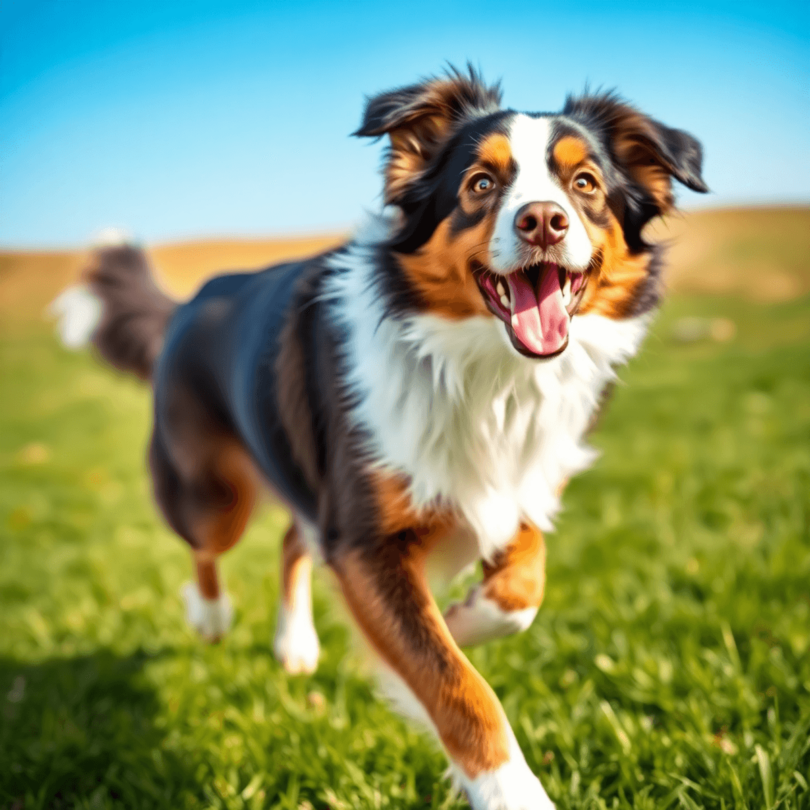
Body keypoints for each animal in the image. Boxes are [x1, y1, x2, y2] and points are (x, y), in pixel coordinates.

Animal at [53, 66, 704, 804]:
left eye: (586, 182)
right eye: (482, 183)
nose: (543, 219)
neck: (483, 372)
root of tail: (192, 300)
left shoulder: (516, 481)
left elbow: (522, 586)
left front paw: (465, 617)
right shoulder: (366, 542)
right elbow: (455, 685)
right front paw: (511, 790)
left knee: (291, 539)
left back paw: (296, 645)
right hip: (214, 495)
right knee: (211, 547)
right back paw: (212, 618)